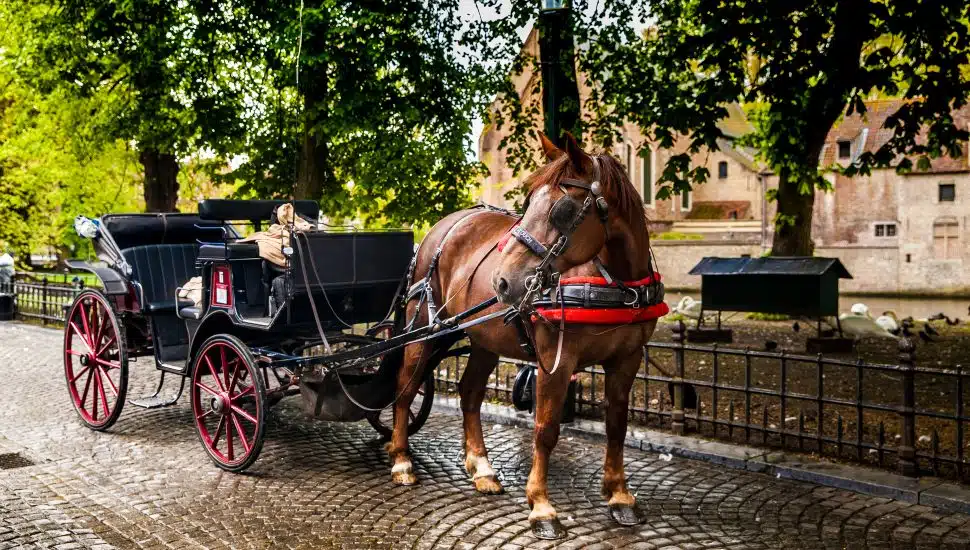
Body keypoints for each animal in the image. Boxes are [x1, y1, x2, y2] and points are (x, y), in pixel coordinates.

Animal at [385, 131, 662, 539]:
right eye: (529, 202)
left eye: (562, 210)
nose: (502, 281)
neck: (617, 282)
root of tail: (441, 228)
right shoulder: (556, 362)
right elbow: (545, 430)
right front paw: (542, 507)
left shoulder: (626, 359)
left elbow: (617, 426)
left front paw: (619, 496)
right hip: (423, 329)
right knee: (406, 387)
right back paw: (402, 460)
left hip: (483, 338)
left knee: (470, 393)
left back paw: (481, 467)